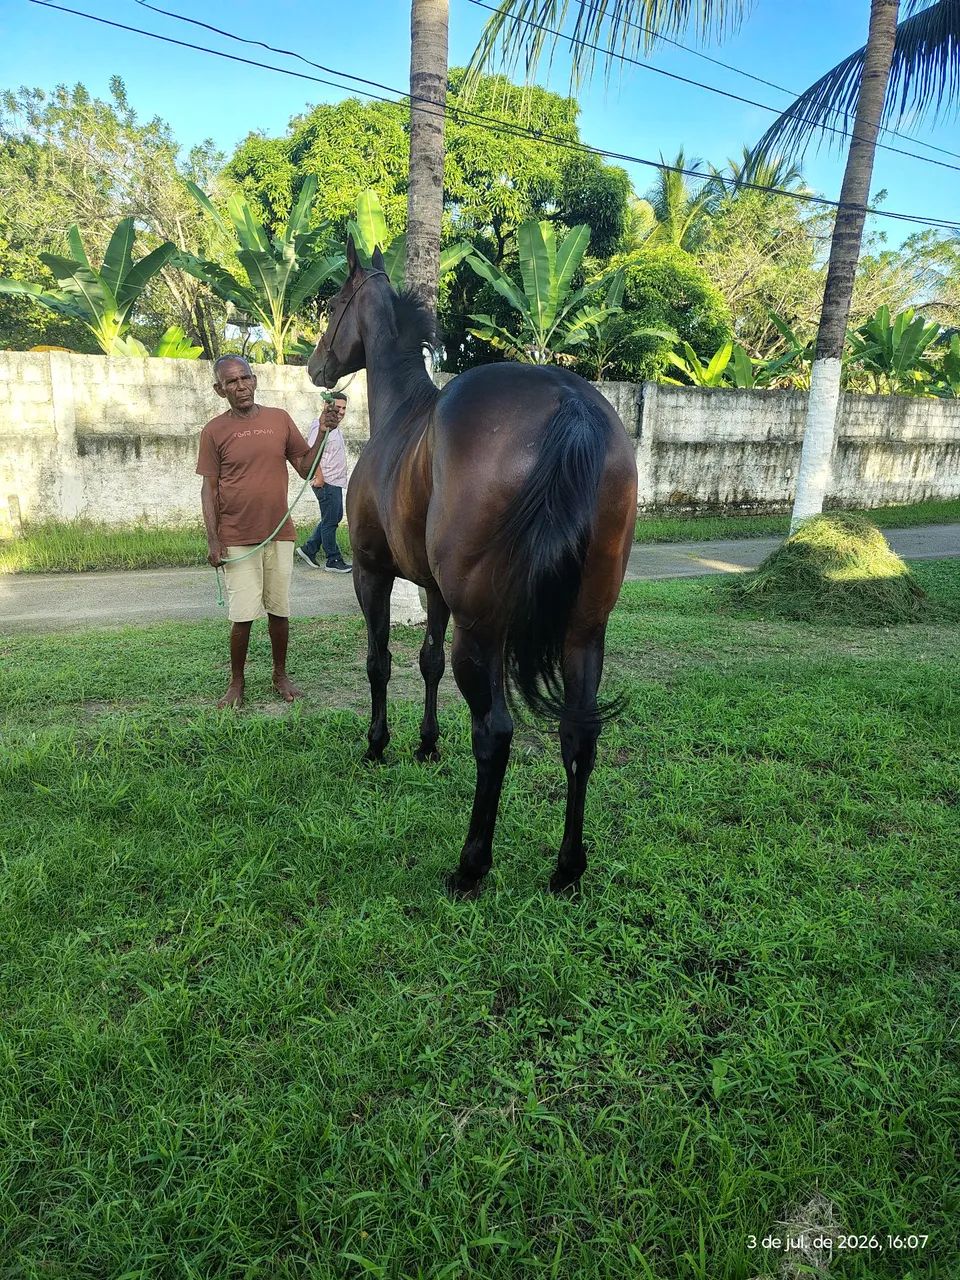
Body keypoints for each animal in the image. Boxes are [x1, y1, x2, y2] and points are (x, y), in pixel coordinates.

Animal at [307, 239, 638, 896]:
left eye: (333, 304)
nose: (315, 367)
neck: (402, 415)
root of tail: (572, 405)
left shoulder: (371, 574)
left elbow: (380, 662)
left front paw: (379, 746)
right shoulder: (435, 592)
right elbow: (427, 662)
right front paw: (427, 746)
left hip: (482, 631)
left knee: (495, 733)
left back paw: (471, 865)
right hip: (584, 630)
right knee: (578, 734)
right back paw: (567, 869)